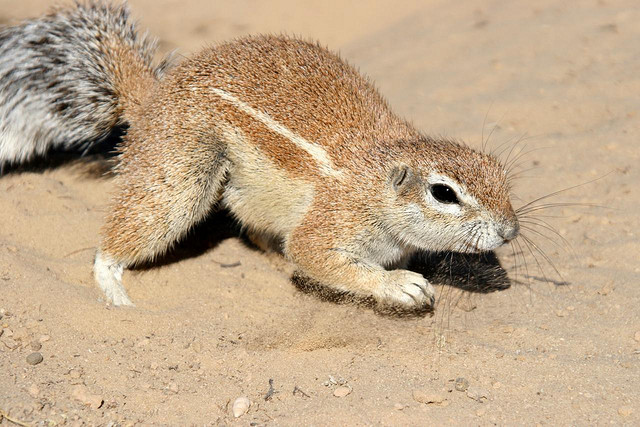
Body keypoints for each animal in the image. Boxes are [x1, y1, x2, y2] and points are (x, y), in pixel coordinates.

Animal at [0, 1, 520, 312]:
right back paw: (113, 284)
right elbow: (315, 255)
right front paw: (400, 285)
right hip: (180, 172)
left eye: (499, 174)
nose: (509, 231)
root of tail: (152, 97)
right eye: (443, 193)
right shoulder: (331, 222)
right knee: (126, 234)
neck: (376, 177)